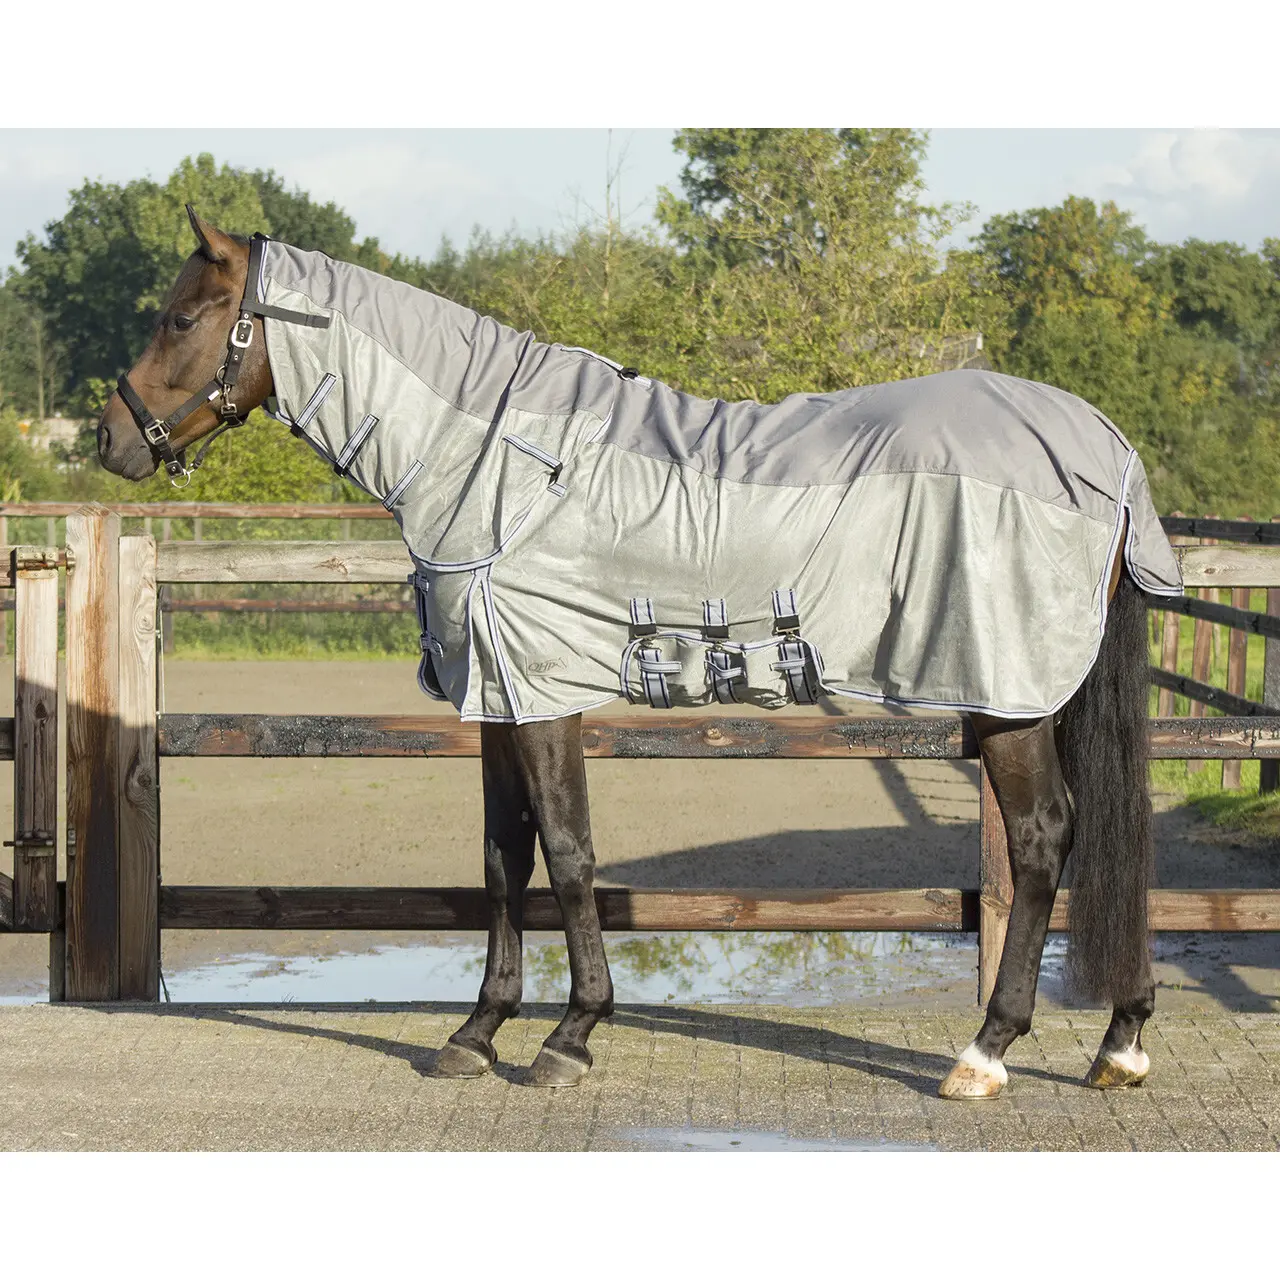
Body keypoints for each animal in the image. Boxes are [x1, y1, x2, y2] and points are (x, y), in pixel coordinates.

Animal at [97, 205, 1181, 1099]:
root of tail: (1102, 444)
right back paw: (1118, 1040)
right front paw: (476, 1031)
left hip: (1008, 696)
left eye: (184, 318)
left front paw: (569, 1035)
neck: (498, 464)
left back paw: (985, 1052)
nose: (112, 441)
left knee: (1041, 837)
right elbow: (503, 859)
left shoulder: (540, 697)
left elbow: (570, 853)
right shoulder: (500, 699)